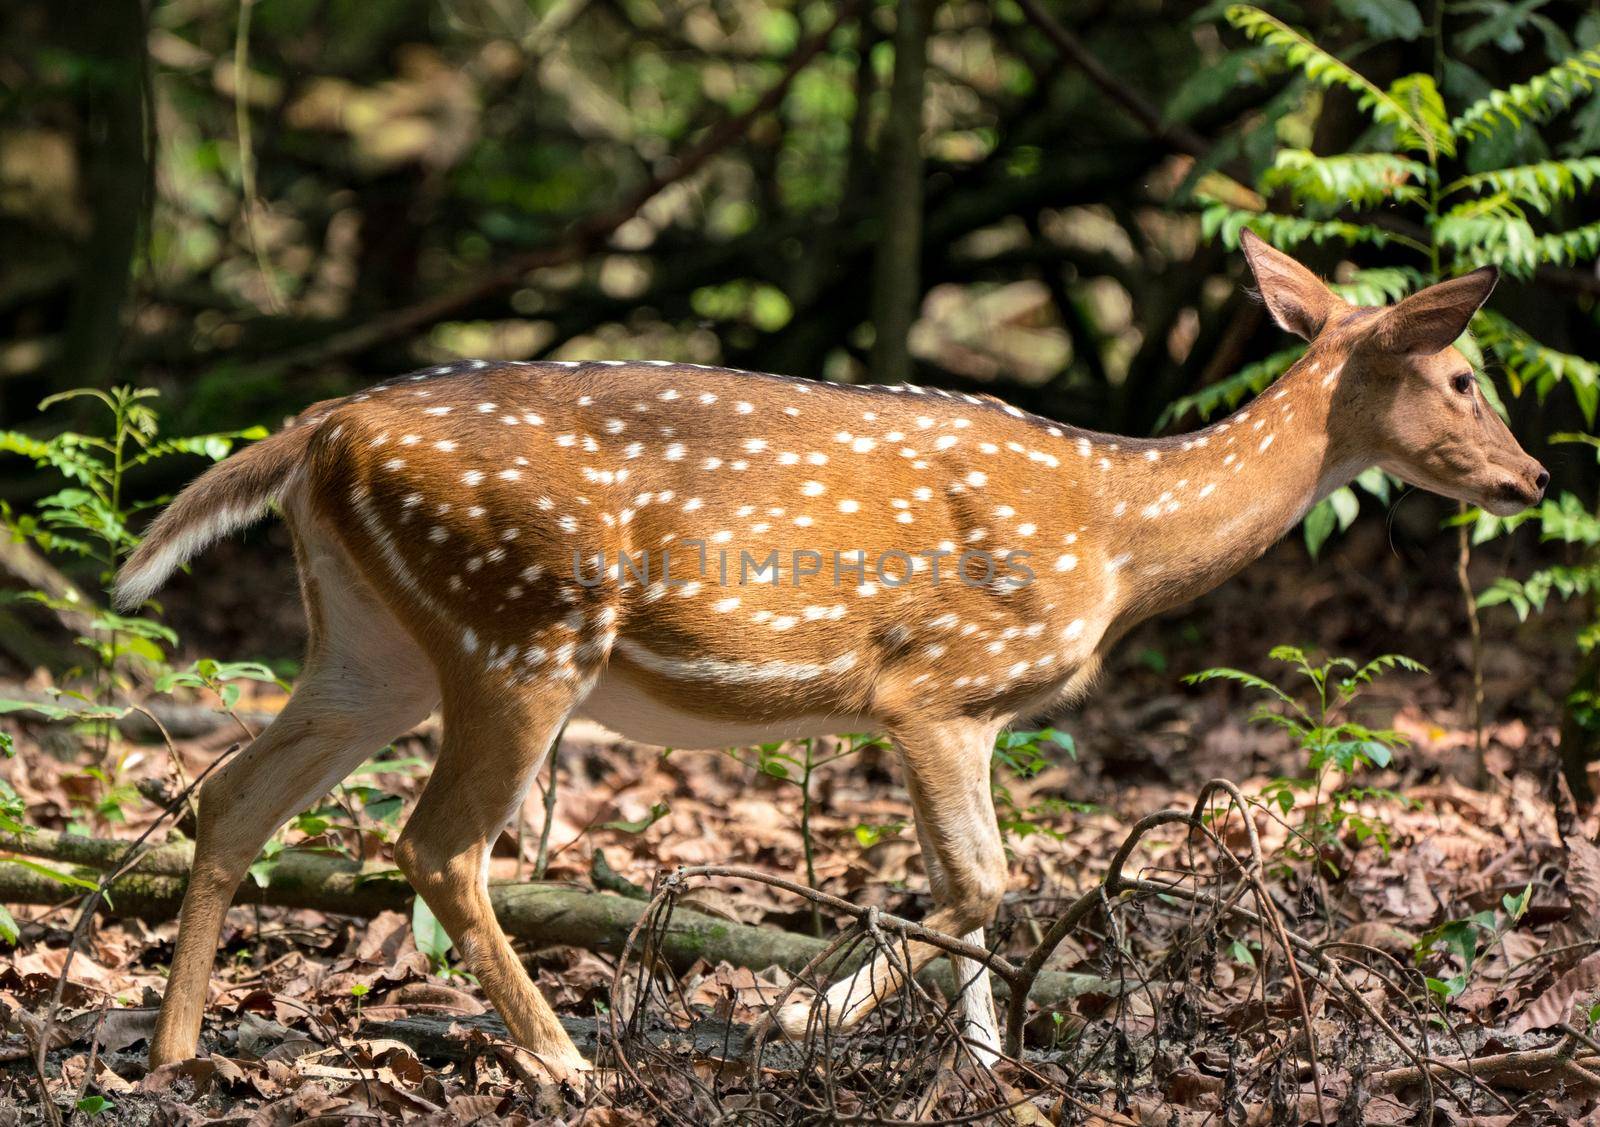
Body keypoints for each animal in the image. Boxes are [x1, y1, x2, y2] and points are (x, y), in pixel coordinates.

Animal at [118, 233, 1542, 1075]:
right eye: (1464, 375)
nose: (1531, 477)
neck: (1117, 538)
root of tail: (317, 431)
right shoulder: (936, 681)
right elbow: (980, 878)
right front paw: (805, 1016)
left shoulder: (966, 708)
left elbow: (985, 887)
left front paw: (988, 1070)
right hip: (520, 624)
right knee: (436, 842)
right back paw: (566, 1062)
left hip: (374, 643)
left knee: (231, 795)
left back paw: (177, 1052)